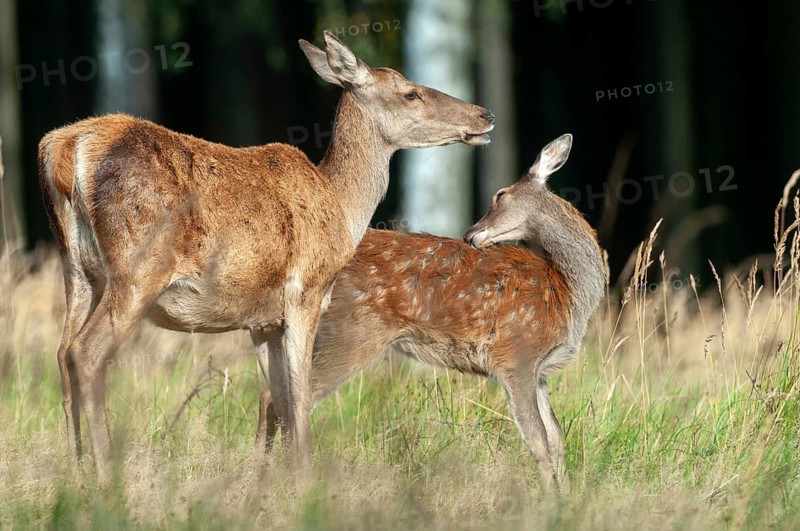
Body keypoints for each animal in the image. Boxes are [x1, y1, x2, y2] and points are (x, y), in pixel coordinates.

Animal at [37, 31, 495, 484]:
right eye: (410, 93)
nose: (485, 115)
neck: (342, 210)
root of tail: (66, 150)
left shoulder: (262, 321)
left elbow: (278, 398)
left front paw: (269, 481)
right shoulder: (305, 293)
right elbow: (299, 397)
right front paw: (307, 483)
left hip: (77, 270)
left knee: (62, 353)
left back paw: (75, 470)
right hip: (137, 268)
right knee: (87, 352)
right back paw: (104, 475)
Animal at [257, 134, 606, 492]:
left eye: (500, 194)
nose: (470, 233)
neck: (569, 292)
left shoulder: (540, 372)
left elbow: (557, 438)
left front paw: (567, 494)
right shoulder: (516, 355)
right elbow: (537, 441)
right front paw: (551, 498)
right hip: (351, 331)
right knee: (279, 398)